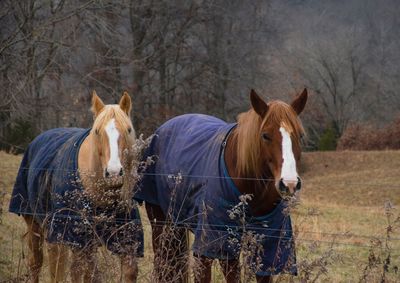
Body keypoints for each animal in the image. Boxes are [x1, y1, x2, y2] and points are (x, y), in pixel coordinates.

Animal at [8, 92, 144, 282]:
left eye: (128, 130)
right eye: (97, 131)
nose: (114, 173)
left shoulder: (127, 242)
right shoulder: (71, 238)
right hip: (38, 226)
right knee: (37, 263)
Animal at [136, 87, 308, 282]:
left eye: (300, 135)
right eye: (265, 135)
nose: (289, 183)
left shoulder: (267, 250)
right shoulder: (211, 247)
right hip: (161, 224)